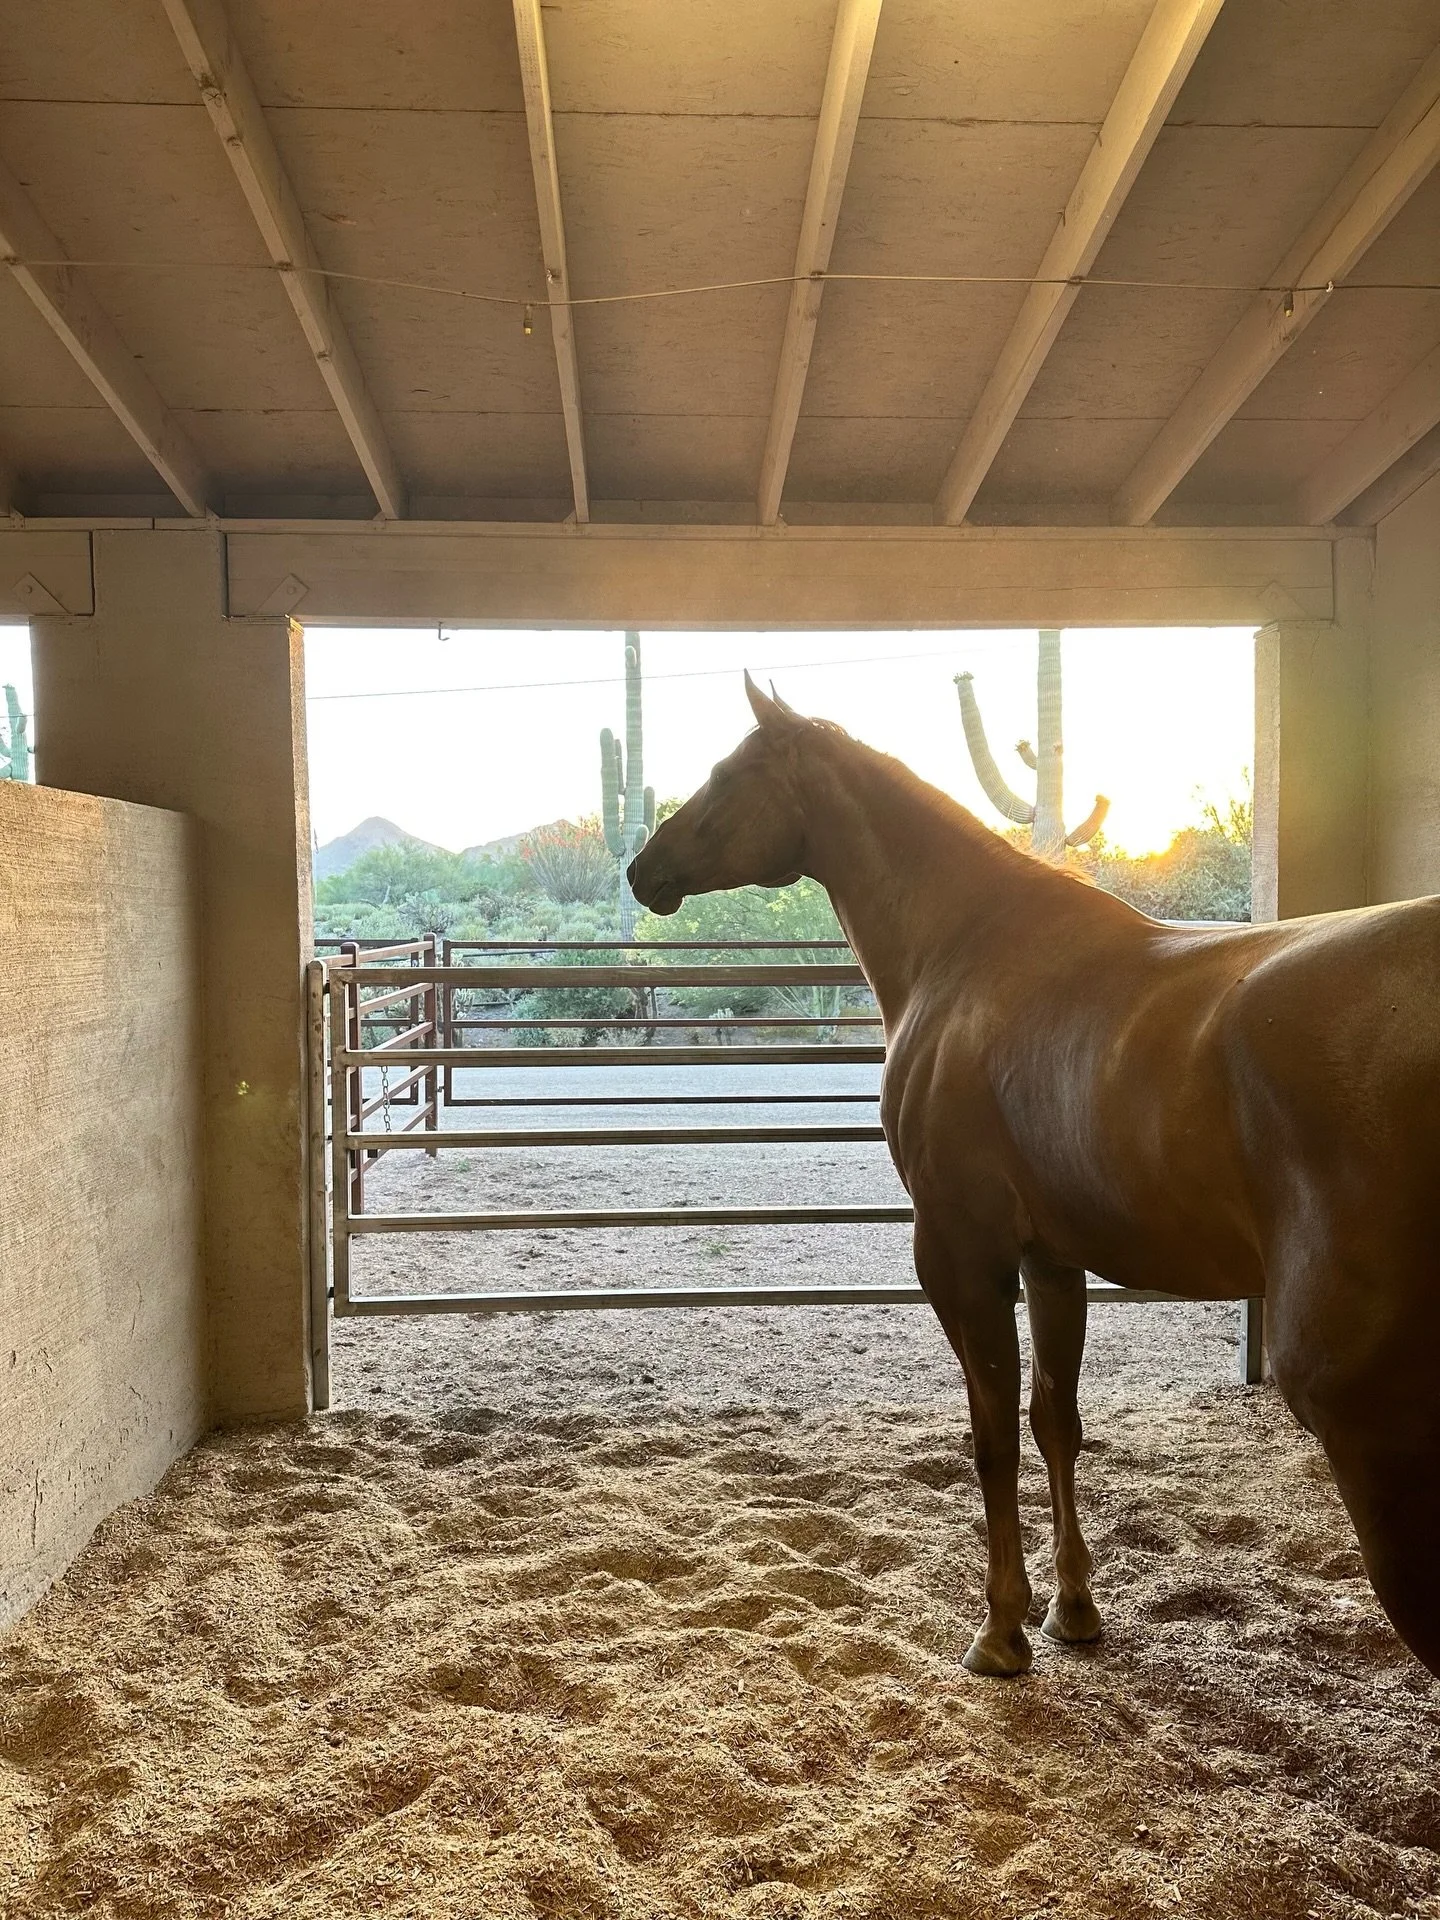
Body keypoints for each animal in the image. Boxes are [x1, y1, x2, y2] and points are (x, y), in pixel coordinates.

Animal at [628, 674, 1440, 1681]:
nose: (643, 871)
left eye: (727, 775)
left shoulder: (959, 1255)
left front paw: (1001, 1630)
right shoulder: (1052, 1260)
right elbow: (1057, 1421)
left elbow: (991, 1437)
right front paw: (1075, 1609)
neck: (967, 948)